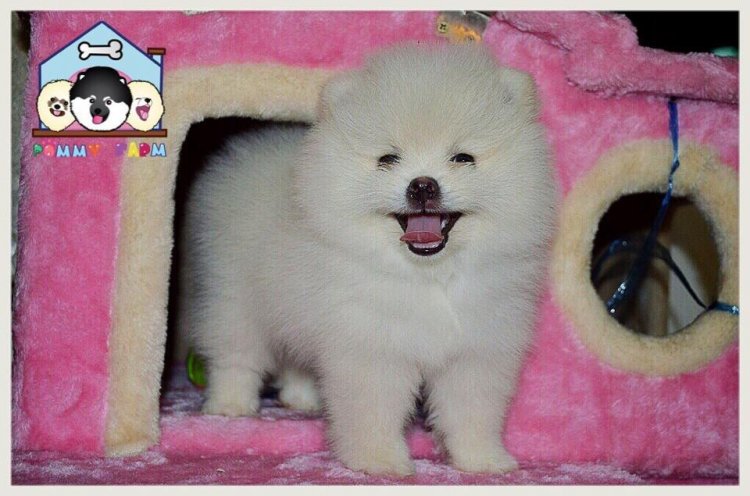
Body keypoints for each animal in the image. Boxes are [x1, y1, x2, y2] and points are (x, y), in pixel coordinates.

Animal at [180, 43, 557, 475]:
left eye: (463, 158)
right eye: (387, 159)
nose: (422, 185)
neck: (430, 277)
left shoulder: (477, 349)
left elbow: (472, 411)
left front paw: (483, 460)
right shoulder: (372, 348)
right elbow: (374, 410)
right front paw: (379, 461)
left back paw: (301, 397)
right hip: (235, 297)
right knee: (235, 354)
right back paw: (230, 406)